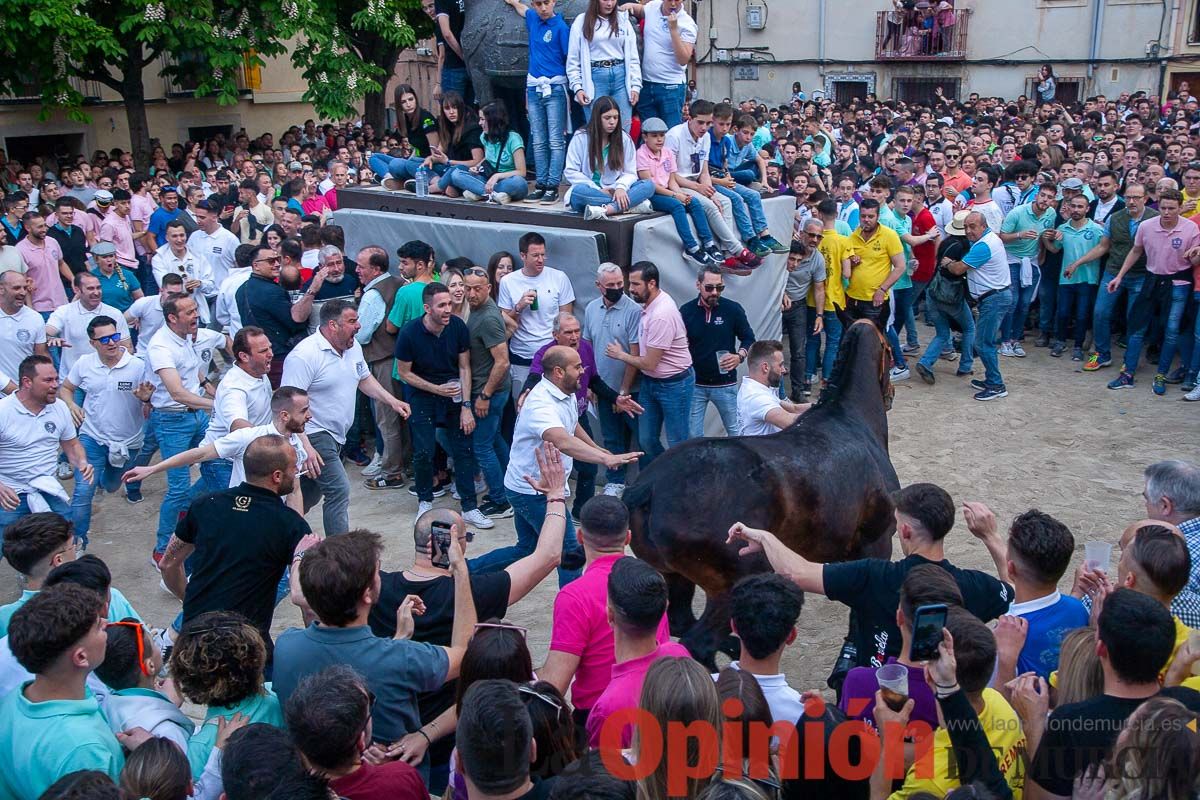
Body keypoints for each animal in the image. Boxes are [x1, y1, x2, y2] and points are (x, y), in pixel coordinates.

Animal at [624, 319, 897, 671]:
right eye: (889, 348)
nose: (890, 394)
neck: (852, 423)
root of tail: (648, 488)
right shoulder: (878, 545)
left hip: (673, 578)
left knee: (681, 622)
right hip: (733, 585)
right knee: (698, 643)